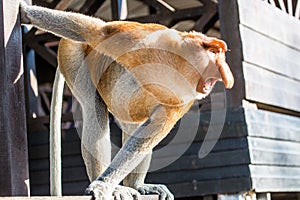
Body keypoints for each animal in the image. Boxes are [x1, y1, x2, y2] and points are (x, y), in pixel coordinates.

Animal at [19, 1, 234, 200]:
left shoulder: (181, 100)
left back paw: (137, 185)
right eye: (215, 52)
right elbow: (101, 32)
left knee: (135, 126)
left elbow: (149, 132)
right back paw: (110, 185)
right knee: (93, 108)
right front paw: (25, 12)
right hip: (73, 54)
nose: (226, 75)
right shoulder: (145, 40)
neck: (179, 65)